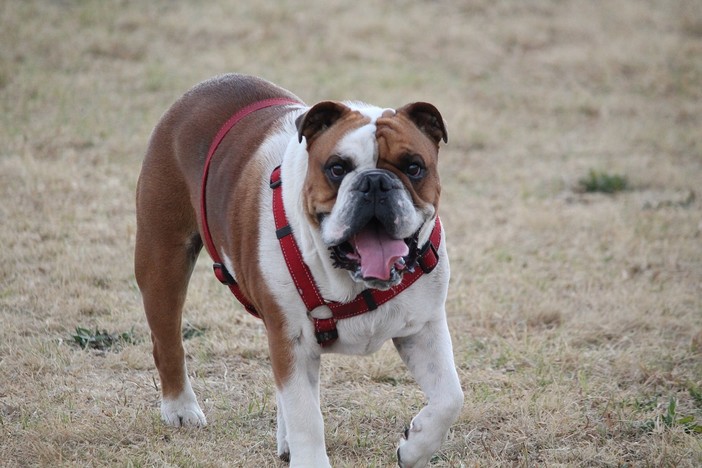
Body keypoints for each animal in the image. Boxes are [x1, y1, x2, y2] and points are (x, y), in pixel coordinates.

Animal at [135, 75, 464, 466]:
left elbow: (450, 397)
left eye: (414, 167)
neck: (352, 282)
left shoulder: (423, 328)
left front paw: (414, 448)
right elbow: (306, 416)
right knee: (166, 342)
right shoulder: (291, 338)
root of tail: (204, 88)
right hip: (163, 261)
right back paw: (180, 409)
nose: (375, 182)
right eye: (337, 168)